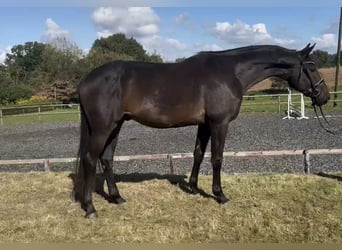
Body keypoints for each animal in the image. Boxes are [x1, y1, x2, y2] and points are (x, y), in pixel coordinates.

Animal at [73, 44, 330, 218]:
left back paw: (116, 197)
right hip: (103, 128)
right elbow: (217, 158)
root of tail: (86, 80)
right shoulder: (219, 123)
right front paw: (219, 195)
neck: (231, 72)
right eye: (312, 67)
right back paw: (90, 208)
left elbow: (198, 154)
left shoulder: (205, 124)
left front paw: (194, 188)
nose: (325, 97)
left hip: (116, 126)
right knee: (90, 159)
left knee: (106, 159)